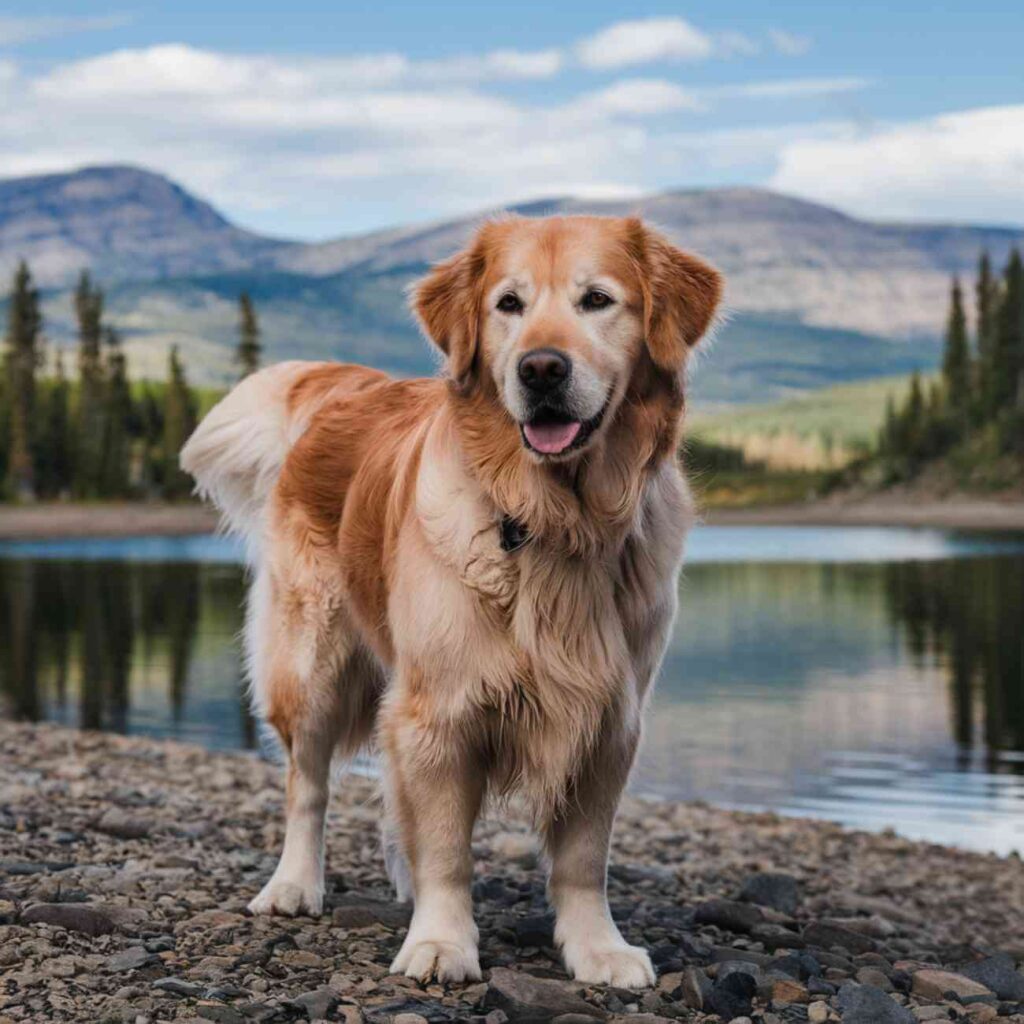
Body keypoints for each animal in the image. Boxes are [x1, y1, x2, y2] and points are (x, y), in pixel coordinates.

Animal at [180, 211, 724, 987]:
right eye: (508, 304)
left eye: (597, 300)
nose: (541, 369)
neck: (552, 519)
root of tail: (350, 385)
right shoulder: (438, 706)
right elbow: (445, 849)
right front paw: (440, 941)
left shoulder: (607, 716)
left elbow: (583, 857)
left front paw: (597, 948)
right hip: (310, 661)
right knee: (306, 784)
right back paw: (292, 885)